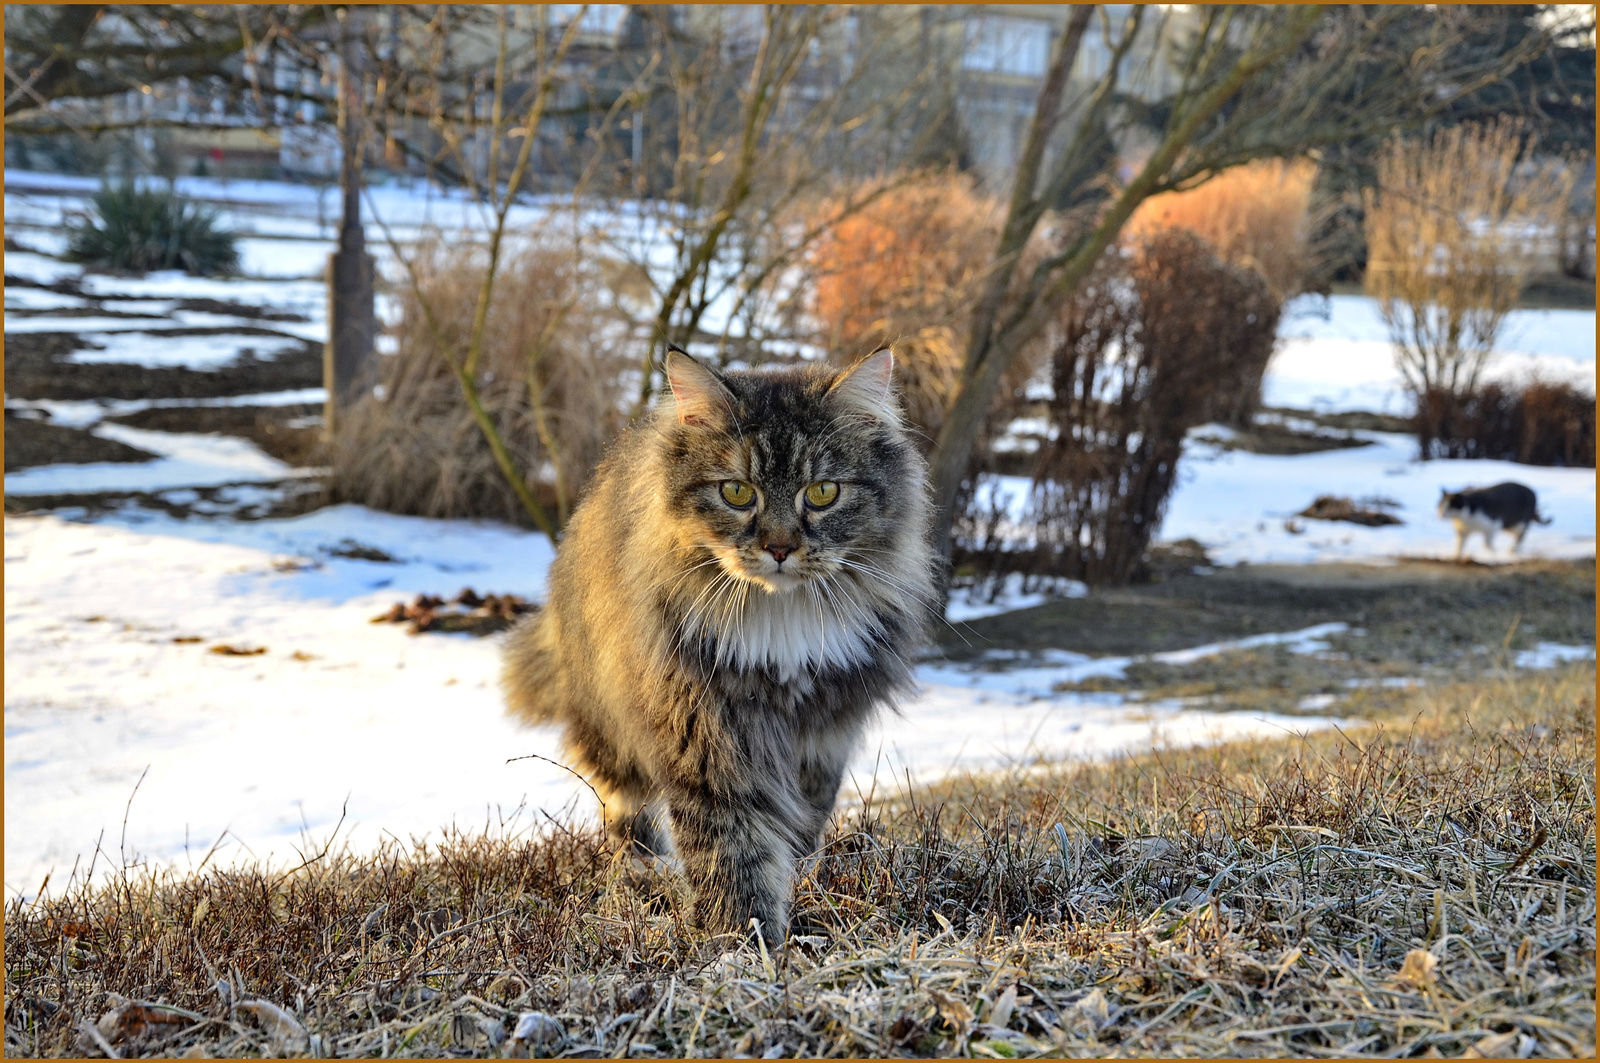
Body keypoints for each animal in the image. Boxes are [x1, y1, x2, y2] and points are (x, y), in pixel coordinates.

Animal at [505, 348, 934, 941]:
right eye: (737, 493)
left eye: (823, 493)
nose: (780, 547)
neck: (779, 623)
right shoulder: (706, 733)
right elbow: (732, 851)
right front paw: (744, 940)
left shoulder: (821, 735)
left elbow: (799, 828)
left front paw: (796, 898)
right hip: (609, 721)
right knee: (625, 809)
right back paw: (641, 872)